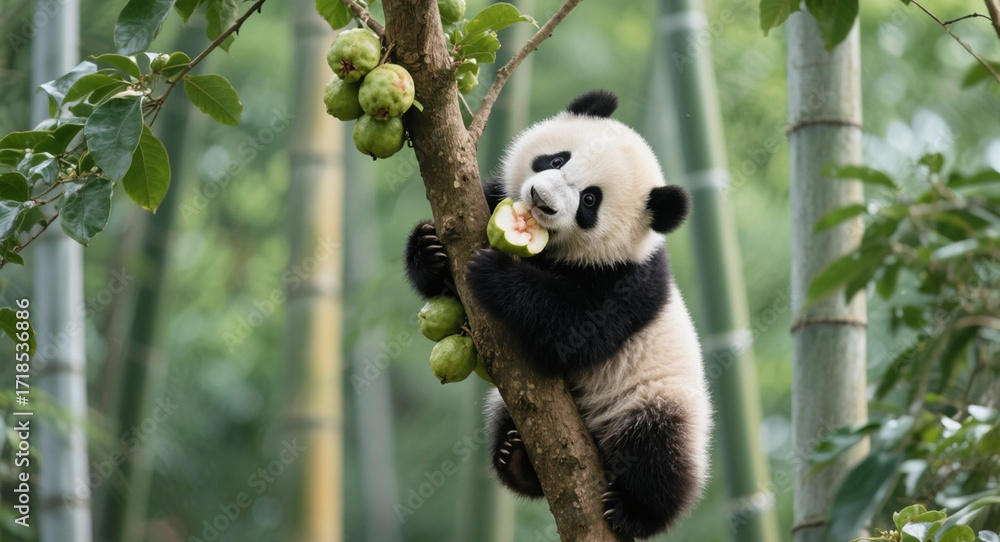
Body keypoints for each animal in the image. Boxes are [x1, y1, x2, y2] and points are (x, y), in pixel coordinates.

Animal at [404, 90, 712, 539]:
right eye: (556, 160)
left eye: (590, 200)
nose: (540, 200)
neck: (552, 250)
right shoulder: (492, 198)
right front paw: (429, 249)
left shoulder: (628, 282)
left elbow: (573, 331)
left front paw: (498, 274)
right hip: (508, 408)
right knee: (506, 424)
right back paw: (516, 458)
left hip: (657, 399)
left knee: (659, 455)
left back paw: (633, 510)